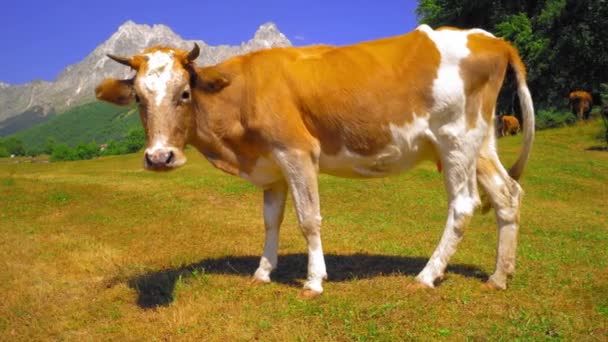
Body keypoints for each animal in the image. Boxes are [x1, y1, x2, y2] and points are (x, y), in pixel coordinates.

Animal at [96, 24, 536, 296]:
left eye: (184, 93)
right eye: (138, 98)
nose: (160, 157)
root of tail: (493, 40)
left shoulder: (297, 151)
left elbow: (308, 219)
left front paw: (313, 282)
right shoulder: (271, 167)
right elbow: (271, 220)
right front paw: (263, 272)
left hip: (455, 140)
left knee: (463, 204)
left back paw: (428, 275)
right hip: (481, 143)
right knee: (507, 194)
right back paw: (500, 275)